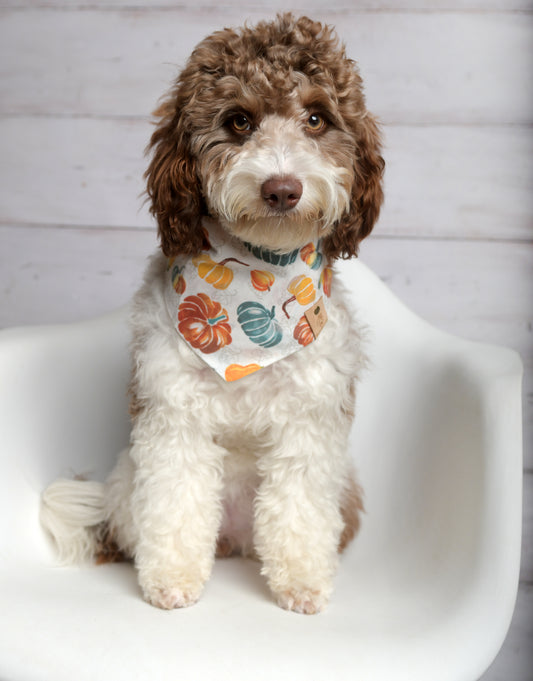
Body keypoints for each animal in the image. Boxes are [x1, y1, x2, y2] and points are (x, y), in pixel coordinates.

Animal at [41, 13, 382, 612]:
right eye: (239, 121)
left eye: (316, 118)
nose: (282, 189)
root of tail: (237, 540)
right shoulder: (173, 415)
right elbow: (176, 498)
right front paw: (172, 580)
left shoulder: (310, 421)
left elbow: (300, 505)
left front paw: (301, 583)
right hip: (128, 480)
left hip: (347, 489)